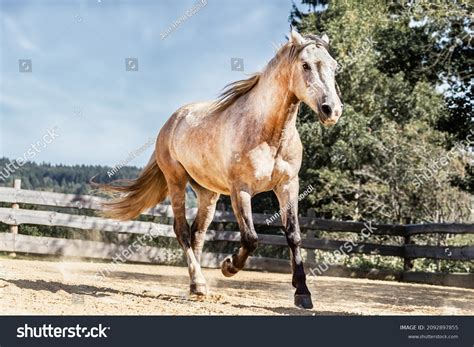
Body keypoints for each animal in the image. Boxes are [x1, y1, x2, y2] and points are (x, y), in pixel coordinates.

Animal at [97, 28, 340, 308]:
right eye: (305, 65)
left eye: (334, 67)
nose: (332, 110)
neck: (269, 134)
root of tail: (172, 121)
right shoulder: (240, 190)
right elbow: (251, 237)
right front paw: (228, 266)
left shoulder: (288, 186)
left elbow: (294, 236)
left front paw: (302, 293)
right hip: (176, 180)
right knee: (182, 230)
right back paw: (200, 284)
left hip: (208, 193)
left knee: (197, 233)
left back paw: (196, 286)